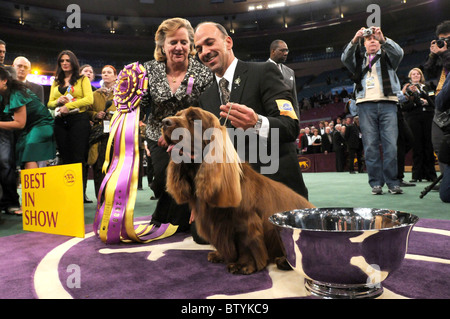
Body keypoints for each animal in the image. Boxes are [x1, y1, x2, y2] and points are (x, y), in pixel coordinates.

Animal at [162, 107, 312, 276]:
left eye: (194, 118)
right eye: (178, 114)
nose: (164, 122)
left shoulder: (246, 223)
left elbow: (245, 244)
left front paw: (243, 265)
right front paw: (219, 255)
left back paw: (283, 261)